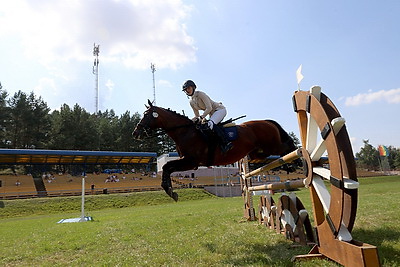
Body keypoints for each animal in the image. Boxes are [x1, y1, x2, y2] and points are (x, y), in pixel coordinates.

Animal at [133, 100, 296, 201]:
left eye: (146, 115)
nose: (136, 133)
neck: (185, 131)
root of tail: (267, 121)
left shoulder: (191, 162)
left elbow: (167, 166)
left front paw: (170, 190)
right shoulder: (187, 161)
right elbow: (167, 168)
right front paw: (170, 191)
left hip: (273, 145)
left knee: (287, 147)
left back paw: (294, 163)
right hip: (258, 152)